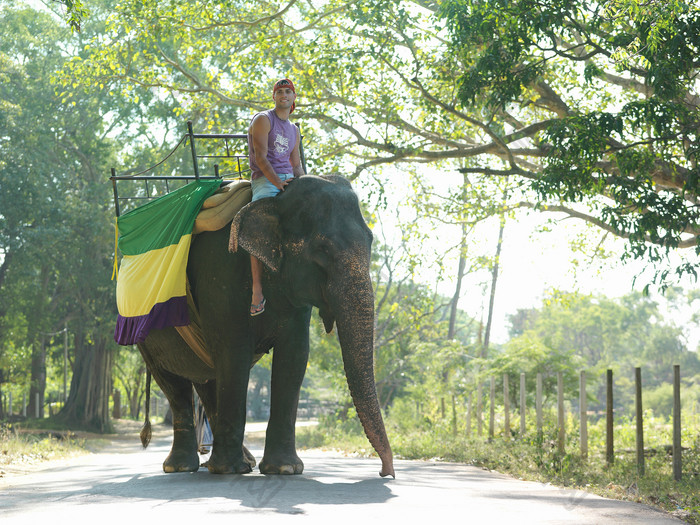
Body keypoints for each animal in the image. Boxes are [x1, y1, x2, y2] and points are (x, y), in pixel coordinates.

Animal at [133, 174, 394, 476]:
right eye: (322, 250)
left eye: (371, 241)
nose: (384, 472)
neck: (275, 202)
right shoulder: (222, 275)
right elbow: (234, 353)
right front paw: (231, 471)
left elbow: (295, 356)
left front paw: (284, 469)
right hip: (146, 335)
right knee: (174, 383)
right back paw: (184, 467)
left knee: (207, 381)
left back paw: (237, 463)